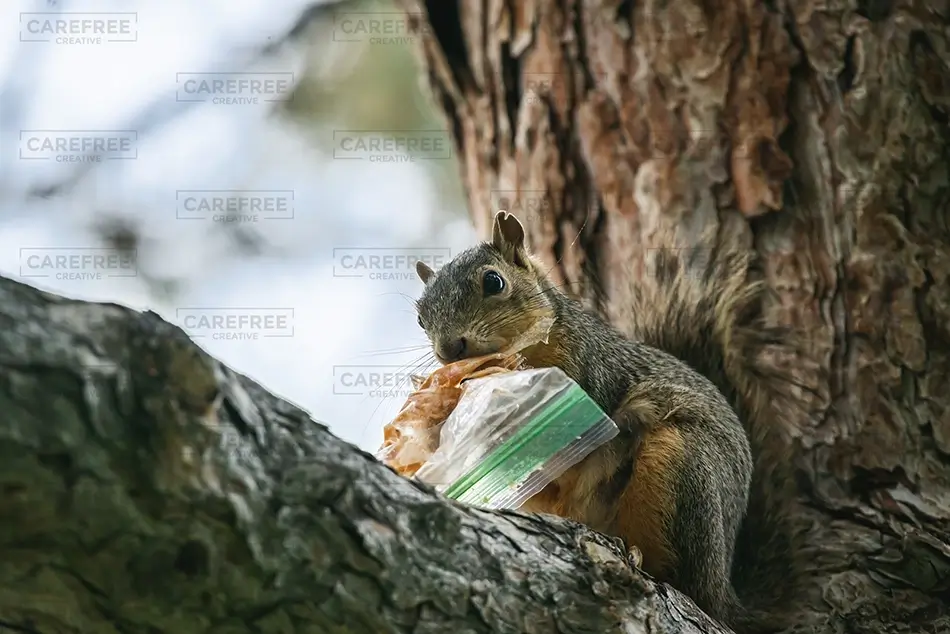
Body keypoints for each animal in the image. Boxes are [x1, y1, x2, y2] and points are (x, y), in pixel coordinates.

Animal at [413, 210, 805, 634]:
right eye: (420, 317)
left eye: (493, 281)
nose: (449, 349)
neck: (530, 349)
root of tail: (727, 590)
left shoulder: (592, 370)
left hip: (683, 466)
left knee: (686, 579)